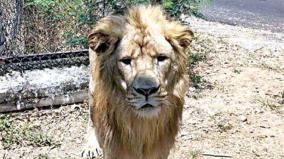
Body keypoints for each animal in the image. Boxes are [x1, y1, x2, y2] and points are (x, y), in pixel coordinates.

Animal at [81, 5, 194, 159]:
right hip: (92, 90)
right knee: (91, 118)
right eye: (126, 61)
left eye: (161, 58)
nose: (147, 90)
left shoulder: (161, 150)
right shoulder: (113, 149)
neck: (141, 125)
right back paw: (90, 146)